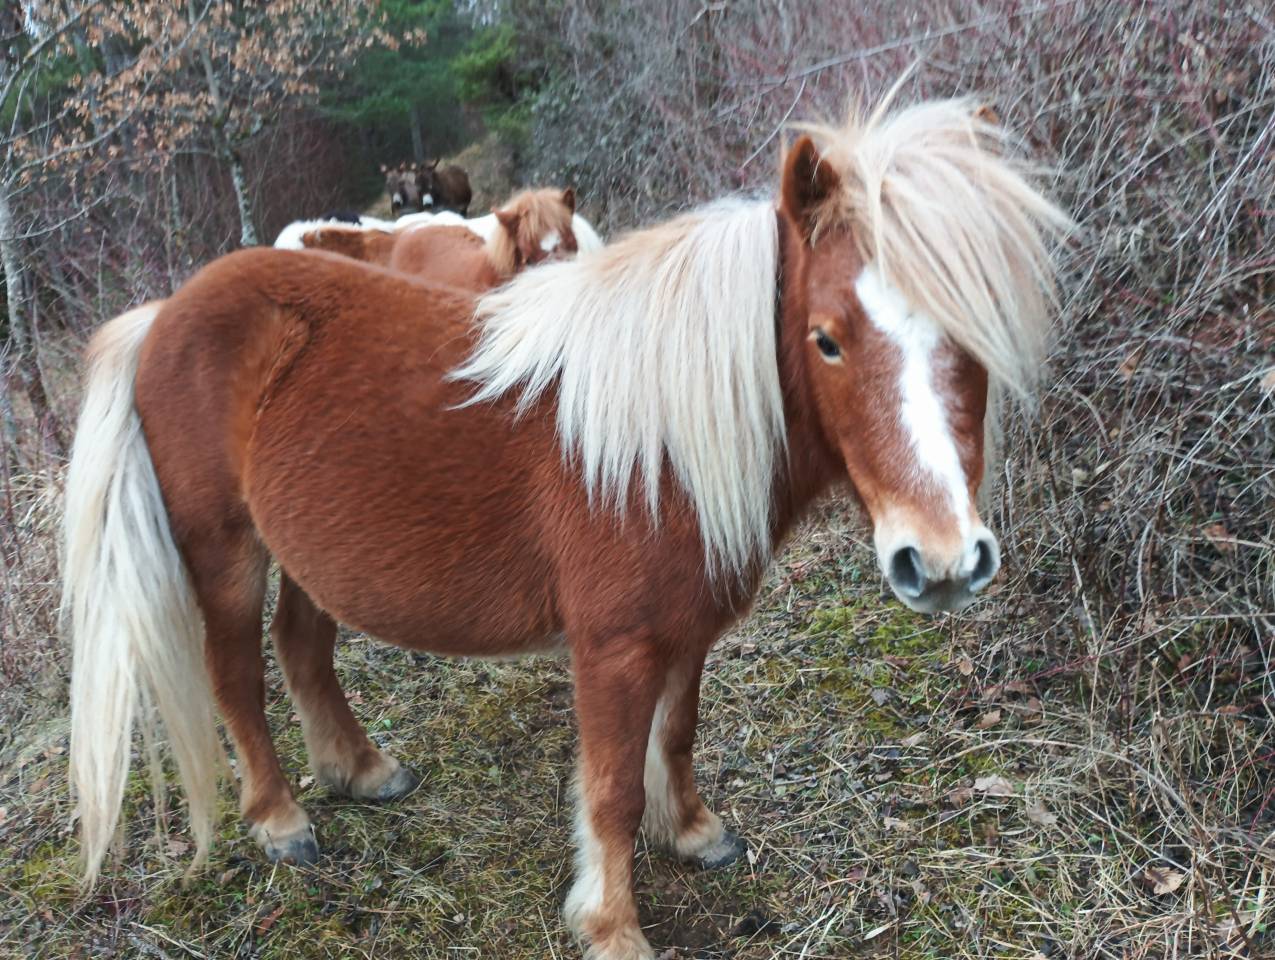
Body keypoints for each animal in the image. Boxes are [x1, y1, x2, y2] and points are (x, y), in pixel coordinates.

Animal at [63, 97, 1070, 960]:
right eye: (826, 338)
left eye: (978, 324)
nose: (941, 562)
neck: (658, 443)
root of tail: (164, 315)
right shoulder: (614, 648)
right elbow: (612, 790)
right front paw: (612, 926)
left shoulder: (683, 633)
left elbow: (677, 735)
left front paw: (693, 834)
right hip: (225, 550)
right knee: (235, 672)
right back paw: (280, 821)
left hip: (310, 552)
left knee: (301, 647)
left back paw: (363, 771)